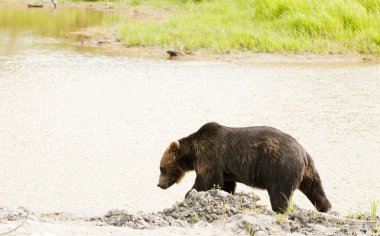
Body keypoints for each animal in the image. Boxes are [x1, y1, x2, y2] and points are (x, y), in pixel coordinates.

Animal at [156, 122, 332, 213]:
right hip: (308, 171)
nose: (159, 184)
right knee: (315, 188)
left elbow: (207, 181)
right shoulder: (225, 169)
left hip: (280, 167)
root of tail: (303, 152)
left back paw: (280, 210)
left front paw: (189, 195)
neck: (192, 154)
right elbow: (225, 184)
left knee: (279, 194)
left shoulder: (210, 157)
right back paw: (325, 207)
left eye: (161, 168)